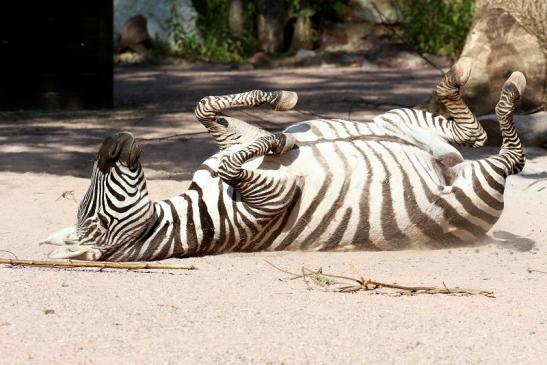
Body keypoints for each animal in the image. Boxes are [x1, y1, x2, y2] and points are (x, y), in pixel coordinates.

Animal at [40, 58, 528, 260]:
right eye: (94, 217)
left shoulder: (233, 137)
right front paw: (281, 141)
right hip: (478, 184)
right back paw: (510, 89)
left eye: (88, 202)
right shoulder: (272, 198)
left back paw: (462, 78)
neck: (194, 213)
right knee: (509, 154)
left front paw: (283, 106)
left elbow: (204, 106)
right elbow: (239, 159)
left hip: (398, 118)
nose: (111, 139)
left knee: (471, 133)